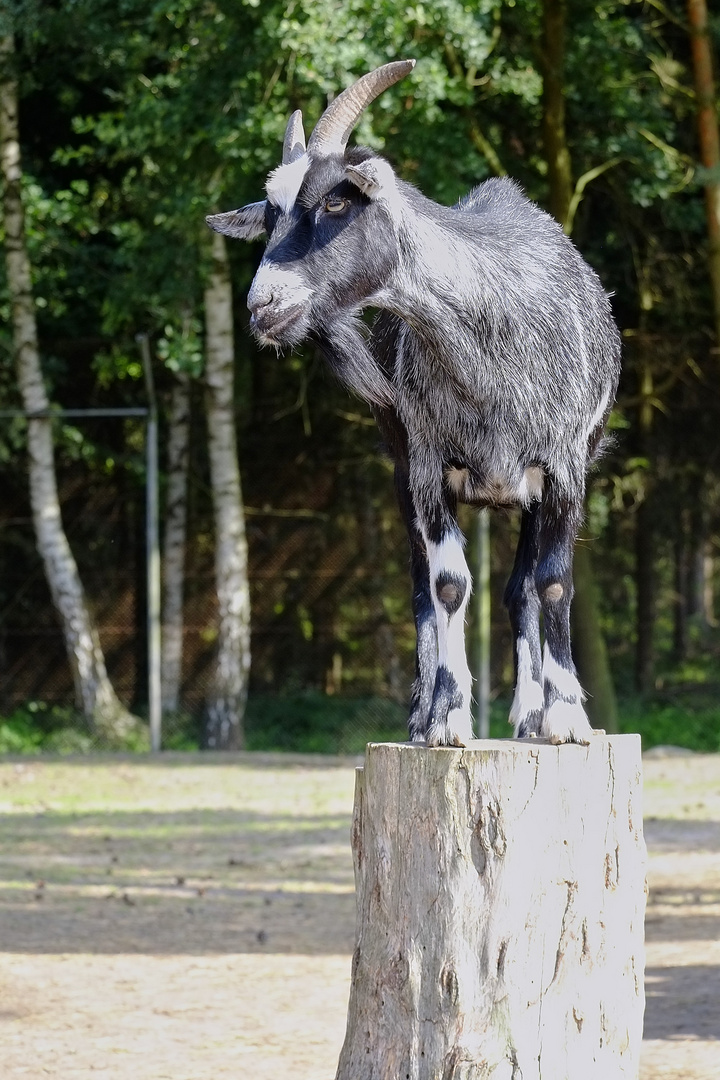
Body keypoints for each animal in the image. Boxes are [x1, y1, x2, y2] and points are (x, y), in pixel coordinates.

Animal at [207, 61, 621, 751]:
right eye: (269, 217)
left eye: (336, 201)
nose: (264, 305)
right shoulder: (427, 468)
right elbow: (448, 584)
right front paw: (447, 718)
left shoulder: (563, 469)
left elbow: (553, 580)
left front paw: (566, 718)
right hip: (404, 470)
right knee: (425, 584)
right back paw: (422, 713)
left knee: (520, 590)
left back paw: (528, 715)